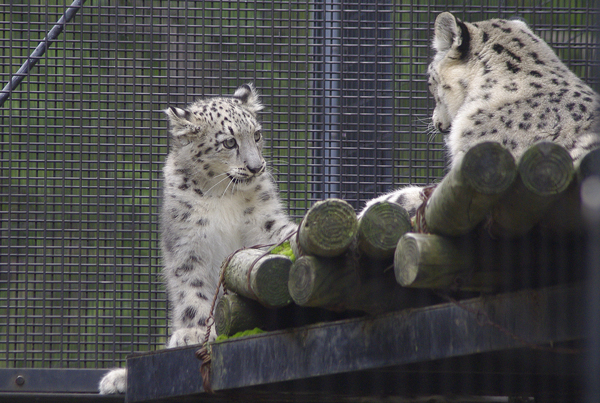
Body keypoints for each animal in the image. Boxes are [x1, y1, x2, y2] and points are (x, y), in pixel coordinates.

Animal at [99, 84, 298, 394]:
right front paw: (194, 331)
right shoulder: (187, 246)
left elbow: (282, 234)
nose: (256, 167)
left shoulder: (266, 223)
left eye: (256, 135)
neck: (223, 195)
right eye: (229, 142)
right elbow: (191, 290)